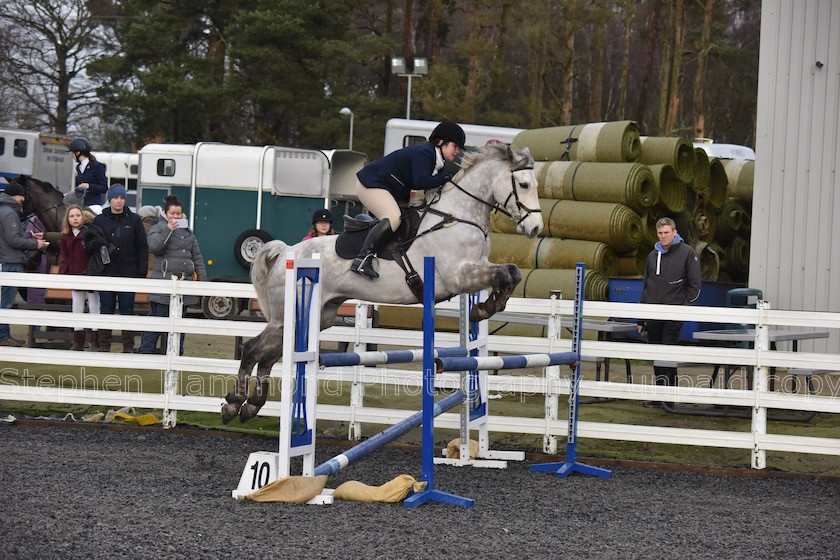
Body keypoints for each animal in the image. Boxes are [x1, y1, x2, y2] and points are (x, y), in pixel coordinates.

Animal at [220, 144, 544, 424]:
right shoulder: (459, 275)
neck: (459, 216)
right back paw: (234, 403)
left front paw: (487, 307)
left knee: (269, 355)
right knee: (253, 349)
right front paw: (484, 309)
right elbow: (505, 275)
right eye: (524, 185)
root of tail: (286, 253)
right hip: (291, 315)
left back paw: (251, 406)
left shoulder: (476, 269)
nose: (535, 228)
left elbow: (511, 272)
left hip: (316, 317)